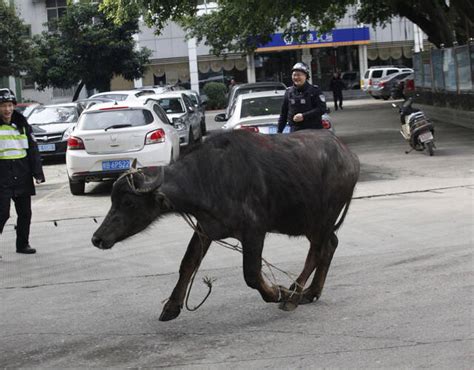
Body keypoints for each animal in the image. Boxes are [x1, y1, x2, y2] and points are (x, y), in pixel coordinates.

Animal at [92, 130, 360, 320]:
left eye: (128, 202)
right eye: (112, 199)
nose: (97, 238)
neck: (208, 178)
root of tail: (350, 157)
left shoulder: (254, 231)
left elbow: (251, 274)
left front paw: (276, 292)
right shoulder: (205, 228)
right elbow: (187, 263)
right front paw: (171, 306)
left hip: (321, 218)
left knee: (317, 251)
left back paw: (293, 295)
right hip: (313, 223)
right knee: (330, 245)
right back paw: (310, 292)